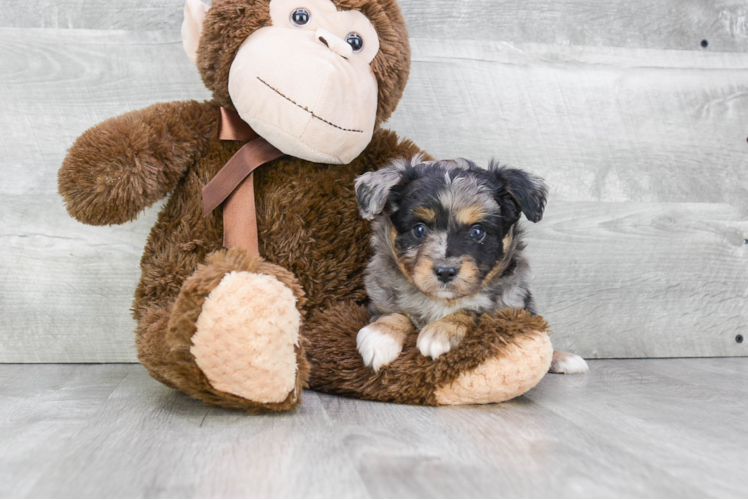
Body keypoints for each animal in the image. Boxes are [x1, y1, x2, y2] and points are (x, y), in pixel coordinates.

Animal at [354, 157, 588, 376]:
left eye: (477, 232)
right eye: (419, 229)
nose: (445, 272)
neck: (444, 301)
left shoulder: (509, 309)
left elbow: (474, 311)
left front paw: (441, 331)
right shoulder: (381, 299)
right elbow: (394, 312)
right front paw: (380, 335)